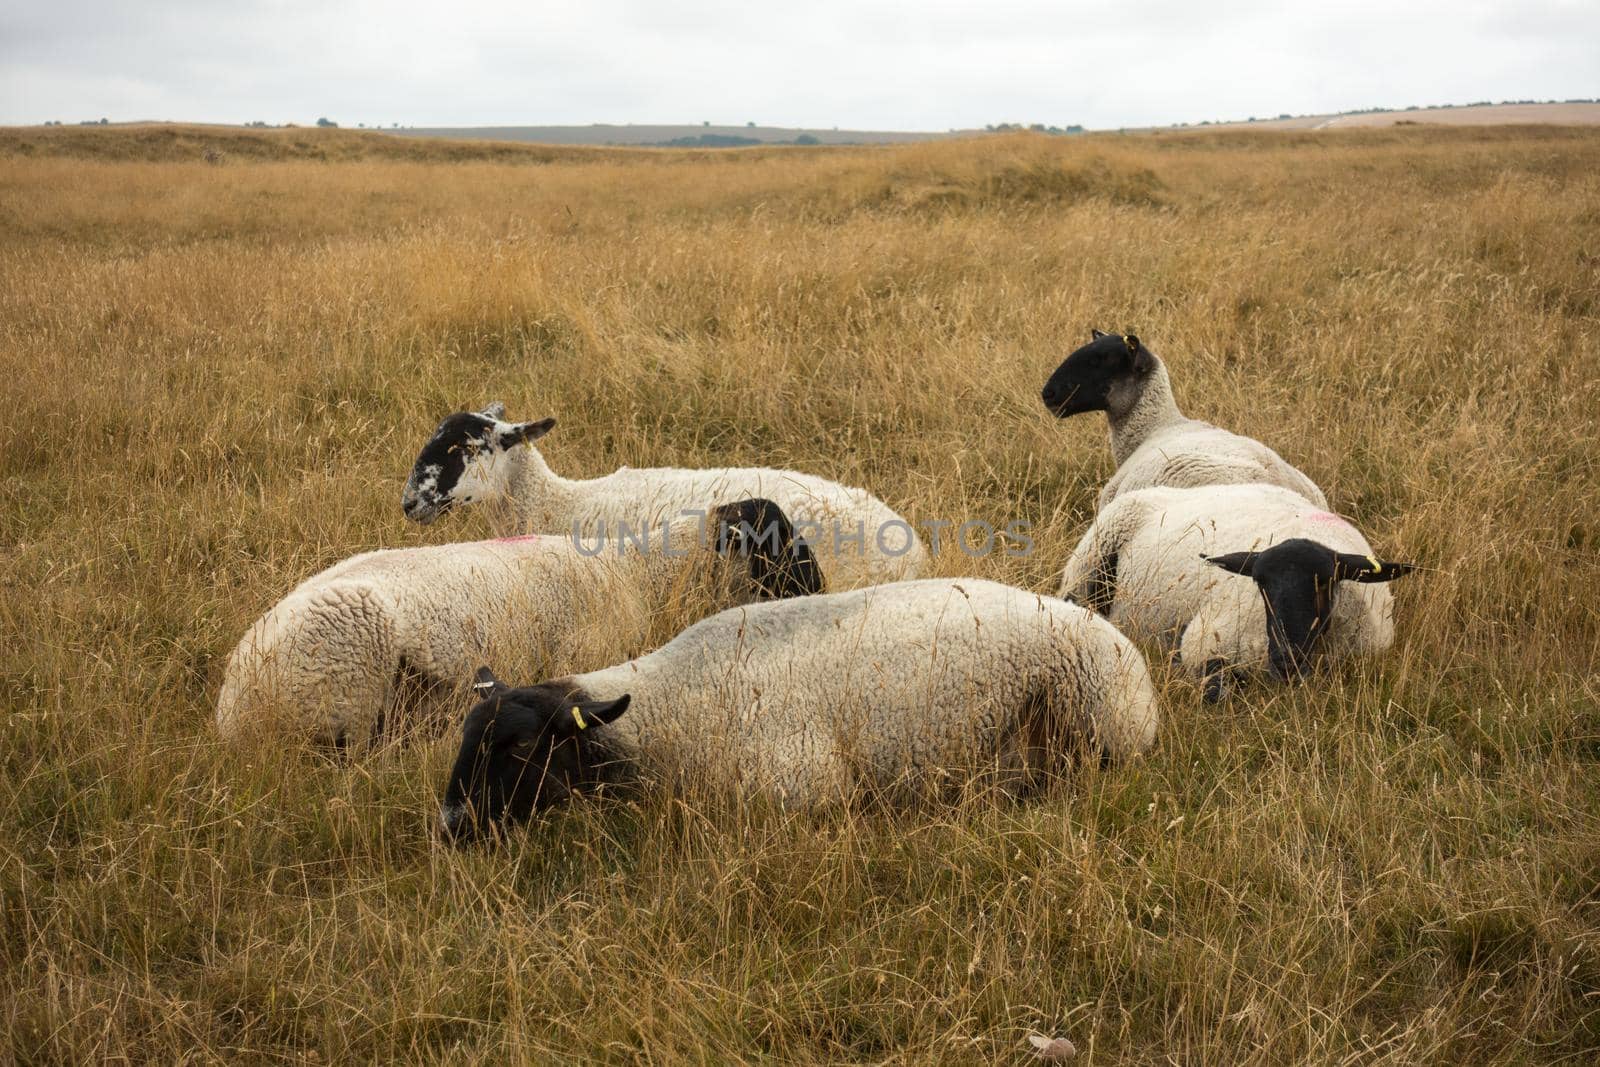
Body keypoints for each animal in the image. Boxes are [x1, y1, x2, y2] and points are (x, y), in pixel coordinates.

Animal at [1062, 483, 1414, 700]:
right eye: (1260, 584)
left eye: (1323, 582)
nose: (1286, 659)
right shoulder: (1205, 642)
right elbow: (1216, 690)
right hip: (1086, 568)